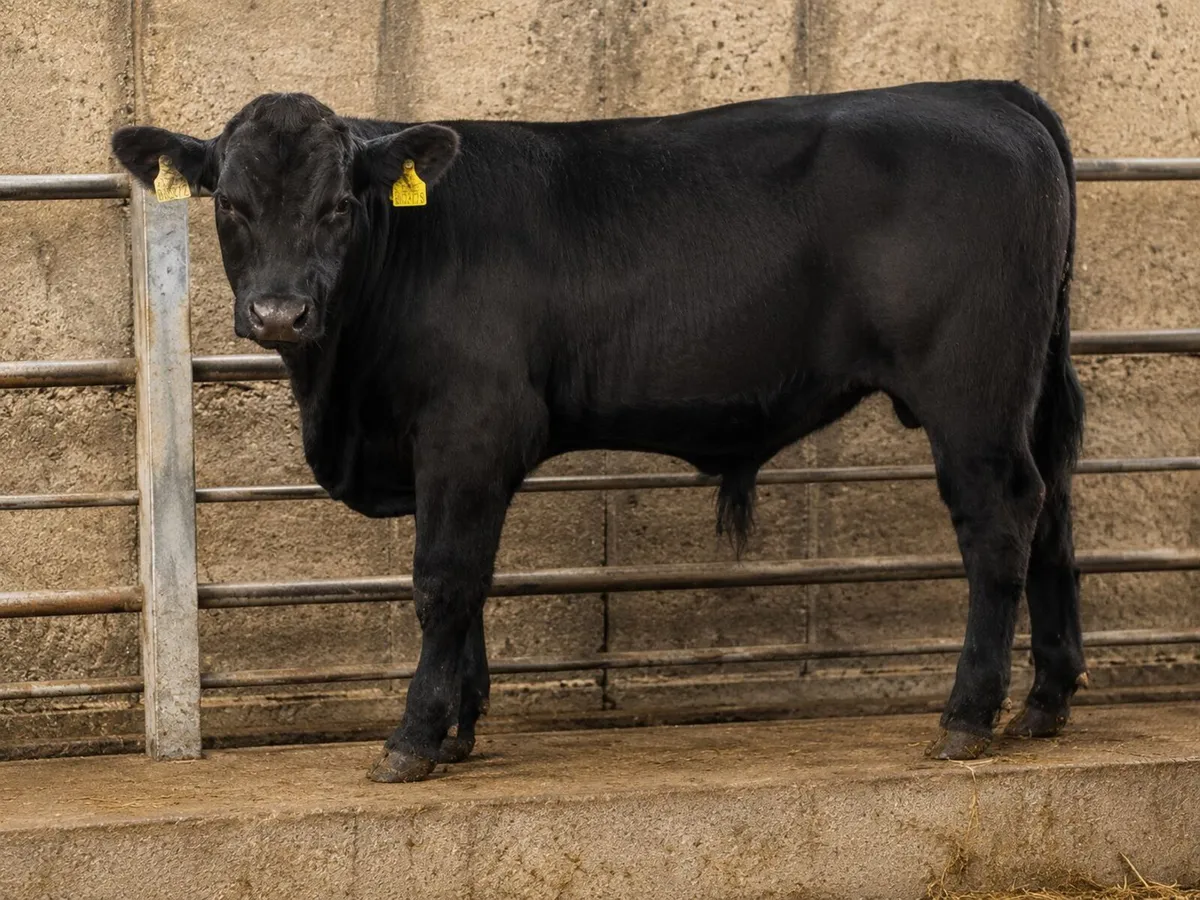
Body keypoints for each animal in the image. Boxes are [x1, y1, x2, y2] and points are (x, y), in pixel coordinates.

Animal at [112, 79, 1086, 783]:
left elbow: (443, 582)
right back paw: (1044, 704)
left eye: (339, 207)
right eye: (229, 204)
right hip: (1032, 387)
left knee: (1001, 522)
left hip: (972, 393)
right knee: (1054, 510)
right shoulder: (450, 455)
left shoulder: (469, 429)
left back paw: (967, 716)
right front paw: (461, 727)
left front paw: (416, 738)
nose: (280, 312)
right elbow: (472, 585)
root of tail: (986, 95)